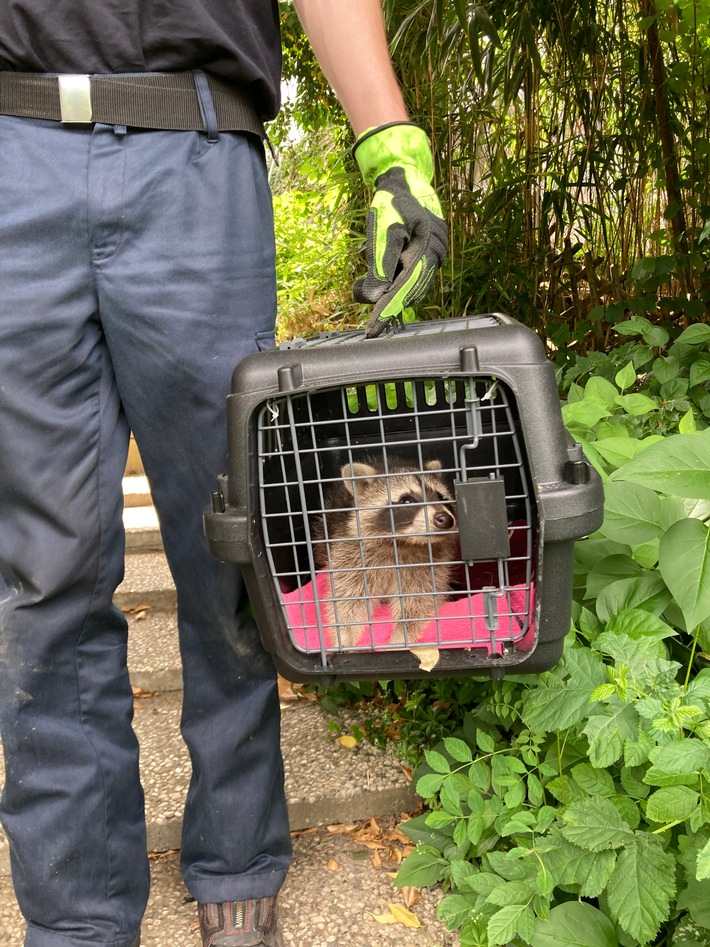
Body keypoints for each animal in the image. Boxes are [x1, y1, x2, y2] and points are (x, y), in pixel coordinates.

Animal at [314, 456, 458, 648]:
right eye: (407, 500)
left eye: (441, 497)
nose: (446, 519)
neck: (402, 543)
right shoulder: (350, 551)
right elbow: (347, 598)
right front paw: (344, 636)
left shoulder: (429, 562)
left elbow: (419, 598)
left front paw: (401, 634)